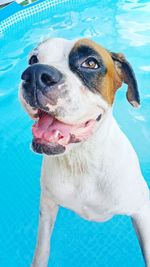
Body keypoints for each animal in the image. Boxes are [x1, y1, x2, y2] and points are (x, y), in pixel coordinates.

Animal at [19, 38, 150, 267]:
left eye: (90, 63)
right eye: (33, 59)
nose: (35, 74)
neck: (82, 159)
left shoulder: (142, 210)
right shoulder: (47, 204)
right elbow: (42, 247)